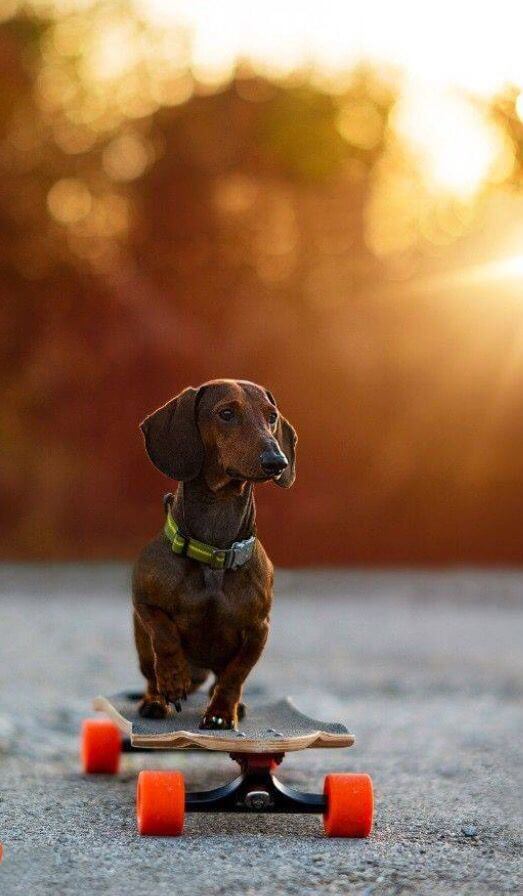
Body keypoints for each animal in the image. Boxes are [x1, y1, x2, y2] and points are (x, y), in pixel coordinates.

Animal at [133, 378, 296, 728]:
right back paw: (155, 700)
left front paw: (221, 713)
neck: (214, 551)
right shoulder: (143, 602)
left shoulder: (259, 629)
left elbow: (235, 675)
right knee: (150, 674)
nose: (277, 461)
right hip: (141, 649)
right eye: (226, 413)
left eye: (272, 416)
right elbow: (164, 635)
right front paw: (174, 680)